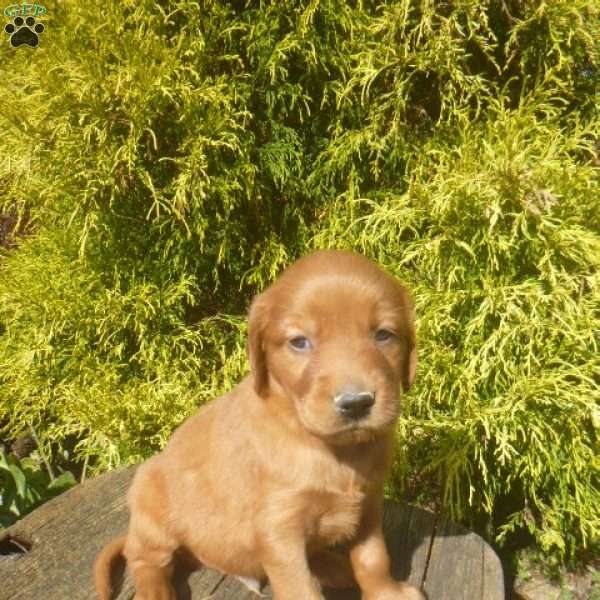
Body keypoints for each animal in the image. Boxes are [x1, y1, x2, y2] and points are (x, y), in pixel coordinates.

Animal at [92, 250, 422, 600]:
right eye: (299, 342)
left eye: (384, 334)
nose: (356, 402)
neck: (331, 449)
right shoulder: (279, 528)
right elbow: (299, 587)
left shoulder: (369, 503)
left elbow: (374, 558)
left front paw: (387, 592)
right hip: (150, 506)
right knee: (145, 561)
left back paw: (333, 566)